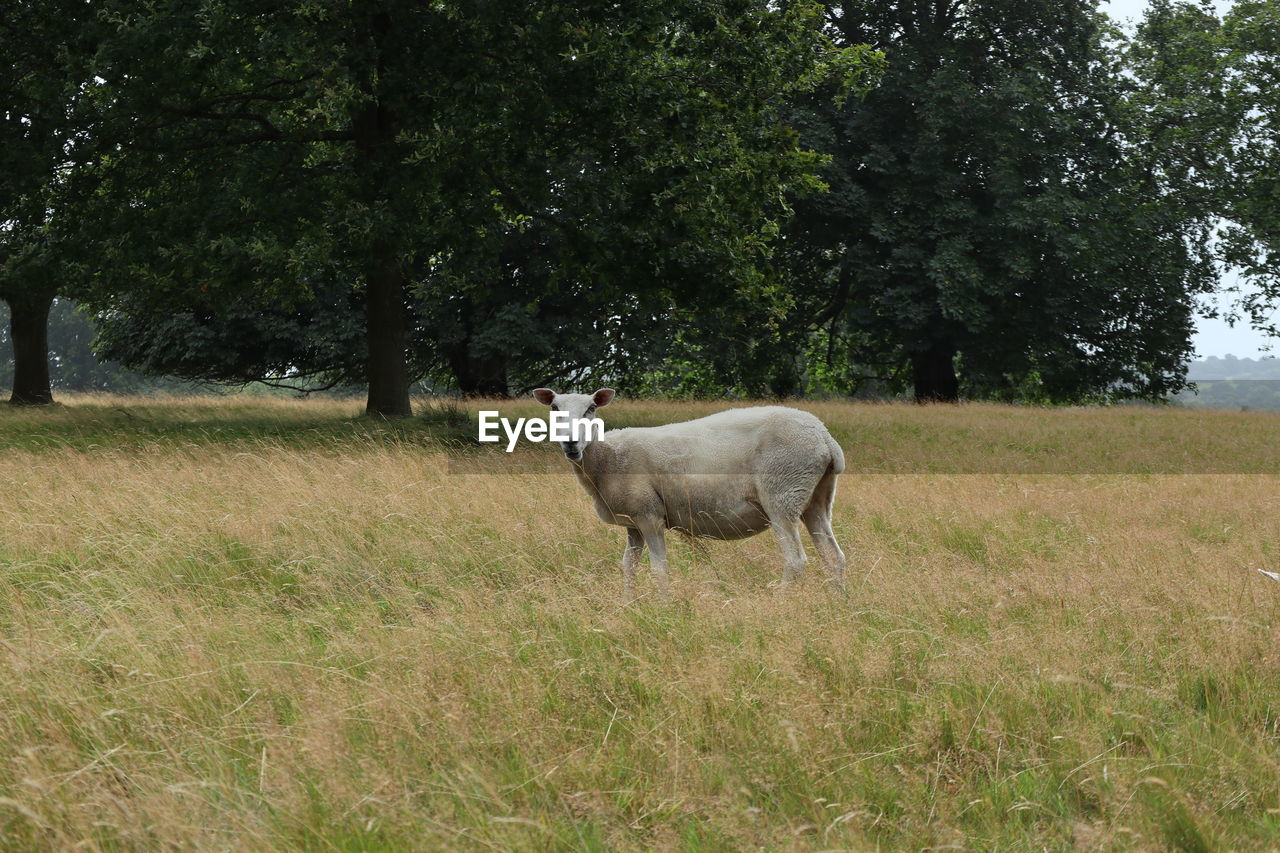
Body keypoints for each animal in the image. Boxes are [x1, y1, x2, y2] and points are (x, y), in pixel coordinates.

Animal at [529, 386, 849, 596]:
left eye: (591, 408)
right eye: (554, 408)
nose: (571, 443)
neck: (608, 458)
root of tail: (824, 436)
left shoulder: (650, 515)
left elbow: (658, 569)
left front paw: (664, 609)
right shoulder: (633, 523)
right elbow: (628, 567)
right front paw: (627, 605)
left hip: (782, 493)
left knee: (795, 560)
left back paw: (780, 602)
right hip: (815, 498)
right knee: (834, 557)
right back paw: (838, 604)